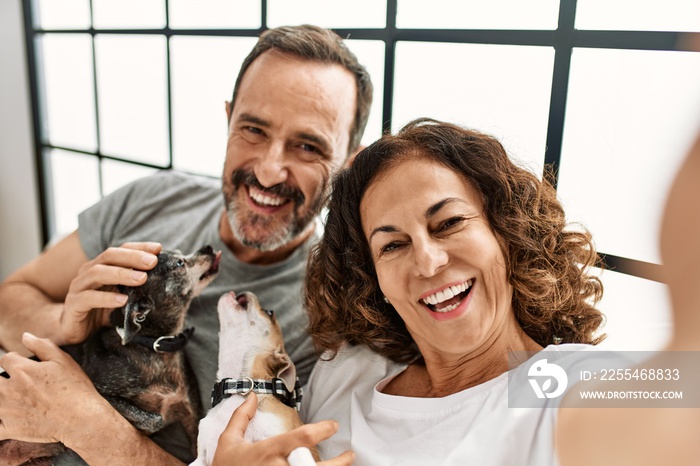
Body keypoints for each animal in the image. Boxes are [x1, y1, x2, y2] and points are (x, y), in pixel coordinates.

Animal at [189, 290, 314, 464]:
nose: (245, 291)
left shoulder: (289, 439)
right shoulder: (200, 458)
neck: (237, 387)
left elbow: (301, 453)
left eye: (269, 313)